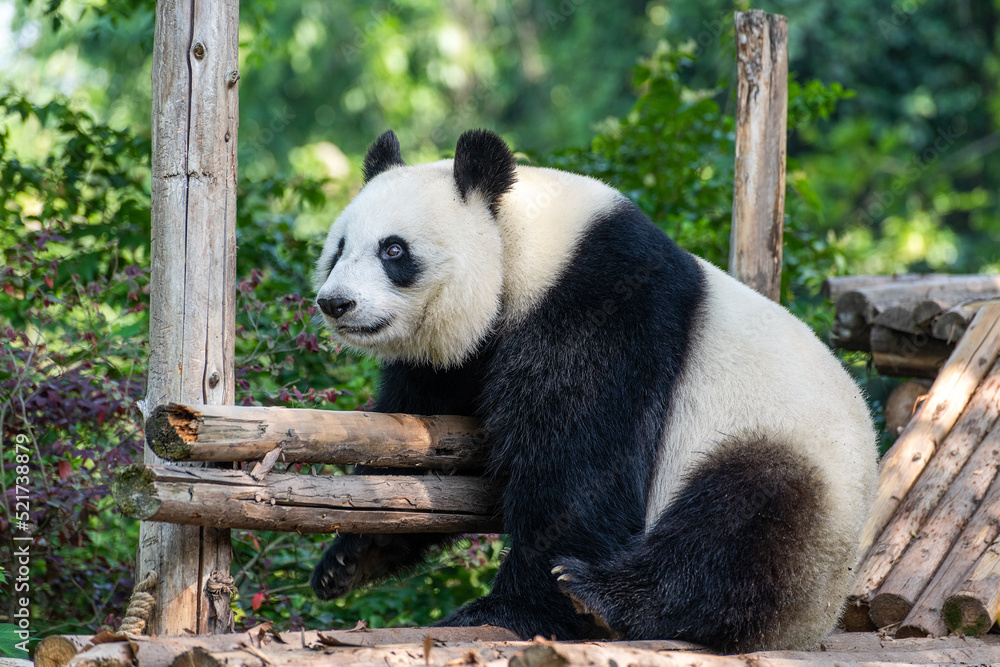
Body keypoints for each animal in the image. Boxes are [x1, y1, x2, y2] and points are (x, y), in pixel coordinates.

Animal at [310, 129, 876, 652]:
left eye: (393, 250)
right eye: (338, 248)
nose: (336, 303)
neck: (523, 244)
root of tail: (818, 622)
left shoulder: (603, 304)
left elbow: (582, 463)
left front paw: (514, 609)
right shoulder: (461, 360)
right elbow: (427, 444)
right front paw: (350, 557)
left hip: (792, 463)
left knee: (741, 520)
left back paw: (604, 596)